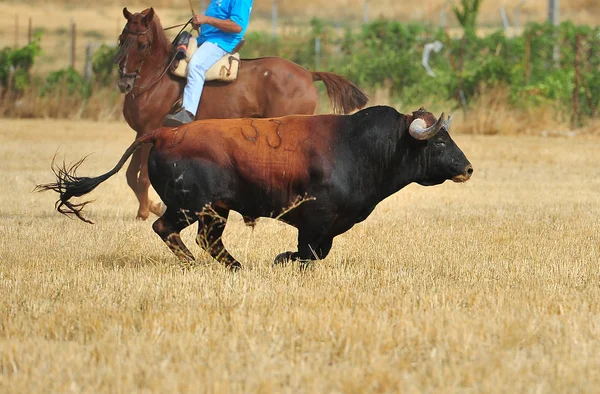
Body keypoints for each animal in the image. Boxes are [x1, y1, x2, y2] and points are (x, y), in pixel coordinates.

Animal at [36, 106, 474, 270]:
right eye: (439, 142)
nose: (468, 168)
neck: (360, 146)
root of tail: (164, 133)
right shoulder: (314, 219)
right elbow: (308, 253)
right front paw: (281, 259)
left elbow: (316, 253)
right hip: (192, 205)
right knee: (167, 229)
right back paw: (196, 265)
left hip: (216, 210)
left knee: (208, 240)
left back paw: (234, 267)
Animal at [112, 7, 366, 222]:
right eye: (122, 39)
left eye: (142, 44)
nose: (124, 83)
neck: (158, 79)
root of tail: (308, 74)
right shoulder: (140, 133)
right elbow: (130, 174)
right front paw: (154, 207)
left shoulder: (152, 131)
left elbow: (142, 177)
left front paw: (144, 212)